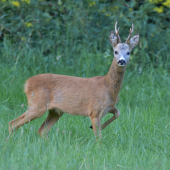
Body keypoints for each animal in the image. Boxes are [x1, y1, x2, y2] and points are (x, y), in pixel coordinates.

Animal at [8, 21, 139, 137]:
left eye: (128, 52)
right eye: (115, 51)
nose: (121, 61)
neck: (108, 87)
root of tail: (27, 83)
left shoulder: (109, 107)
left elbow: (118, 113)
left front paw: (98, 127)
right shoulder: (94, 111)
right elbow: (98, 137)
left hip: (55, 111)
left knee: (41, 130)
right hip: (37, 104)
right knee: (13, 123)